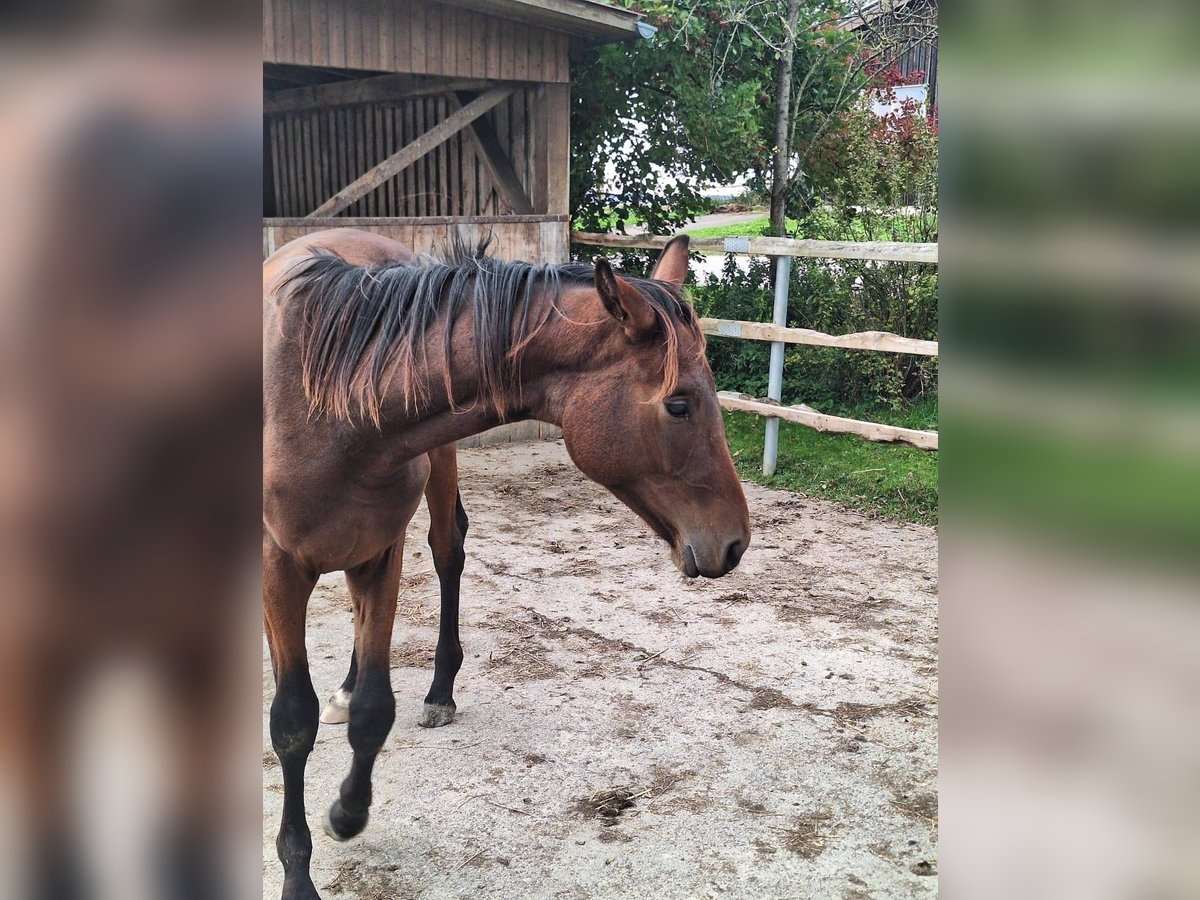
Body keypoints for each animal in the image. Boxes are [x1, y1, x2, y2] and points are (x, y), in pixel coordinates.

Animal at [264, 229, 748, 897]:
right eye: (678, 405)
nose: (735, 542)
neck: (328, 406)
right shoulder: (278, 567)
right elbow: (291, 723)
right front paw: (296, 873)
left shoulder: (382, 552)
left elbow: (374, 709)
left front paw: (347, 812)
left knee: (446, 552)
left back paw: (433, 691)